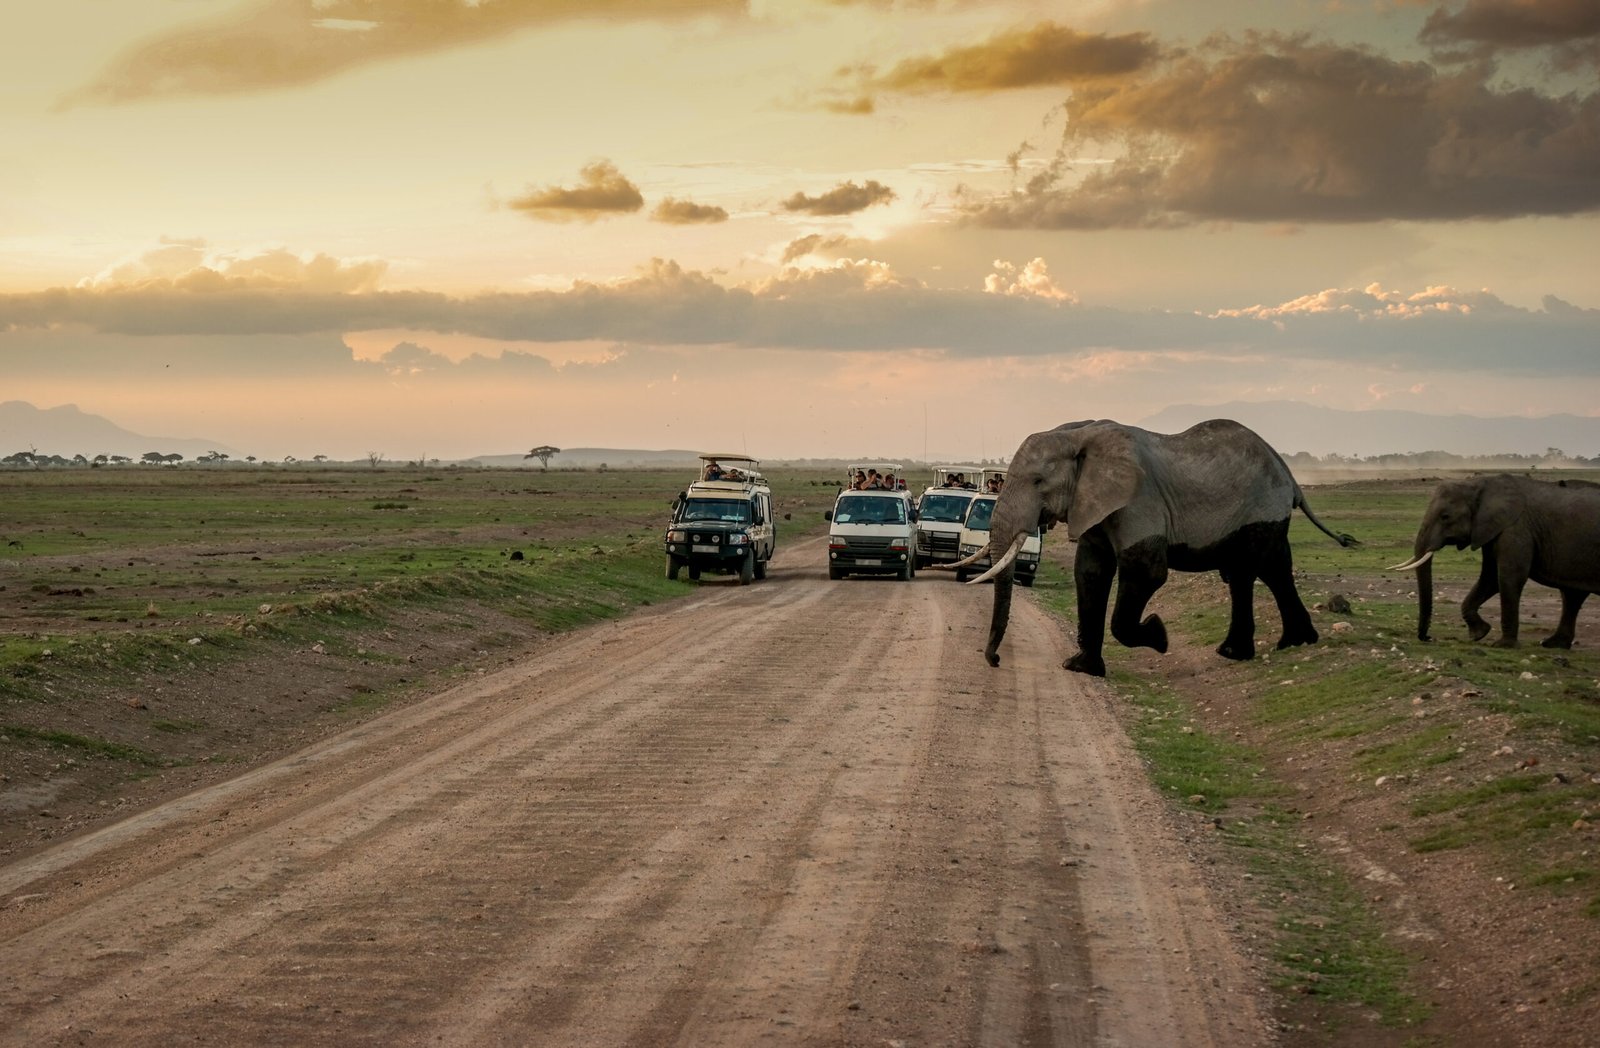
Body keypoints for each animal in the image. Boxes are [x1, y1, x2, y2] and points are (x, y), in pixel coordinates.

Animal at [955, 419, 1358, 677]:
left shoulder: (1138, 501)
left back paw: (1276, 646)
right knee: (1257, 571)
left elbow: (1145, 571)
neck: (1078, 434)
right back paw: (1263, 648)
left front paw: (1158, 635)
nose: (995, 661)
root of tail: (1288, 473)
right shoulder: (1094, 504)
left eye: (1039, 481)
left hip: (1261, 509)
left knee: (1260, 569)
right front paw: (1081, 668)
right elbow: (1090, 571)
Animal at [1389, 474, 1600, 648]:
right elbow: (1489, 578)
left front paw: (1503, 645)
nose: (1427, 638)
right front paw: (1479, 634)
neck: (1480, 485)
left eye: (1445, 516)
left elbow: (1508, 577)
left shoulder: (1516, 529)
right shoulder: (1491, 530)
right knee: (1572, 596)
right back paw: (1552, 644)